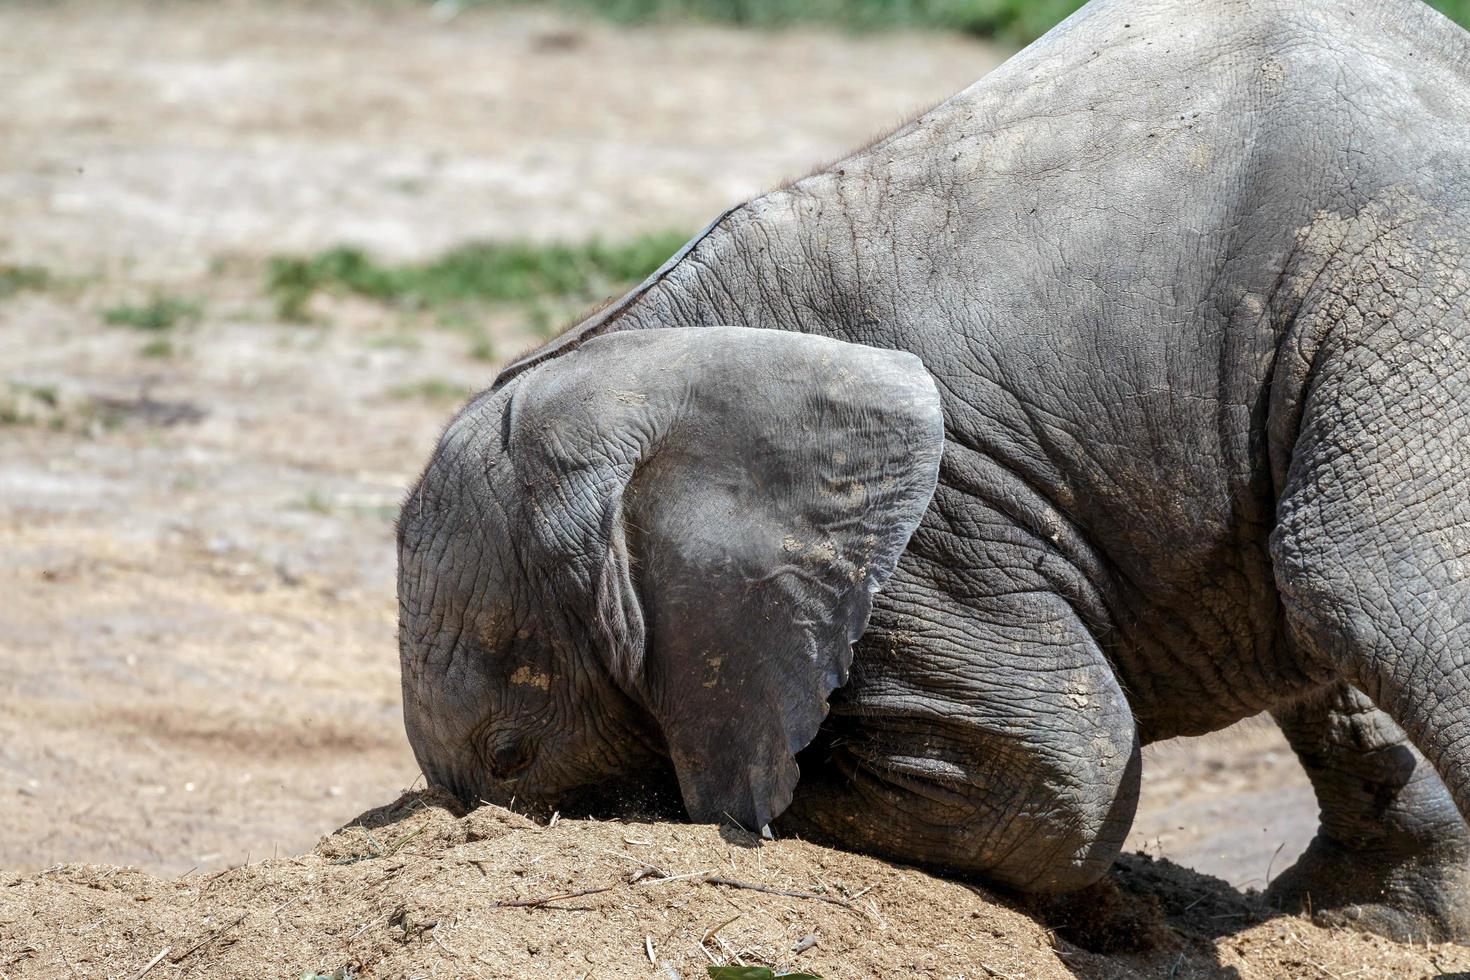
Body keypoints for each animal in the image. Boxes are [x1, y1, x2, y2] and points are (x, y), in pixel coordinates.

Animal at [396, 0, 1470, 940]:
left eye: (508, 757)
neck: (635, 348)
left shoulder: (932, 529)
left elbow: (1060, 774)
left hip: (1397, 281)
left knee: (1362, 582)